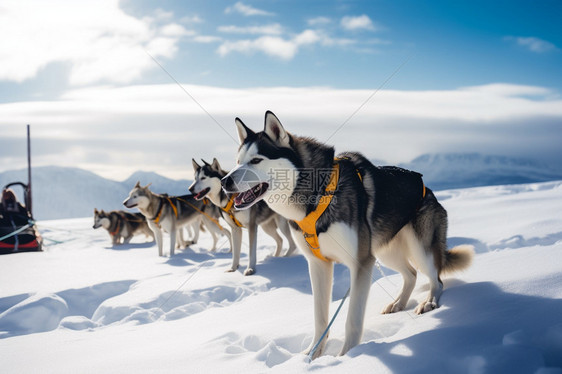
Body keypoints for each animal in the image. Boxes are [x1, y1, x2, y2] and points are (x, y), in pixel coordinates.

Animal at [221, 111, 470, 356]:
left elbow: (353, 320)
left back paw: (429, 302)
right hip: (384, 252)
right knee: (411, 274)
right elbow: (320, 318)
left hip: (419, 248)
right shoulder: (319, 264)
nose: (225, 181)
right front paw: (313, 354)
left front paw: (348, 356)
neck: (317, 196)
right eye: (238, 161)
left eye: (256, 160)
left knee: (436, 280)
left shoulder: (360, 263)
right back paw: (398, 304)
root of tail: (427, 188)